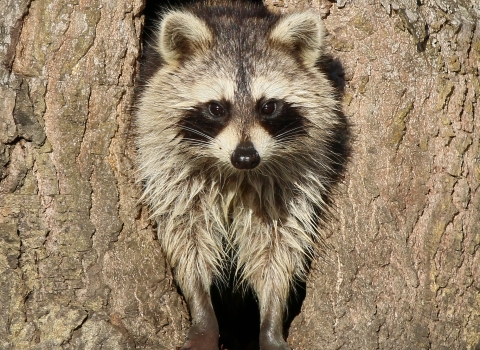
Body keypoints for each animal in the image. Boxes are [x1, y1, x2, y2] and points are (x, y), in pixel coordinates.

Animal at [135, 1, 348, 348]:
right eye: (217, 108)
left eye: (269, 107)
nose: (246, 157)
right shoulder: (168, 165)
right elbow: (187, 234)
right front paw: (202, 310)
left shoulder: (291, 176)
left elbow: (277, 245)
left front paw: (272, 317)